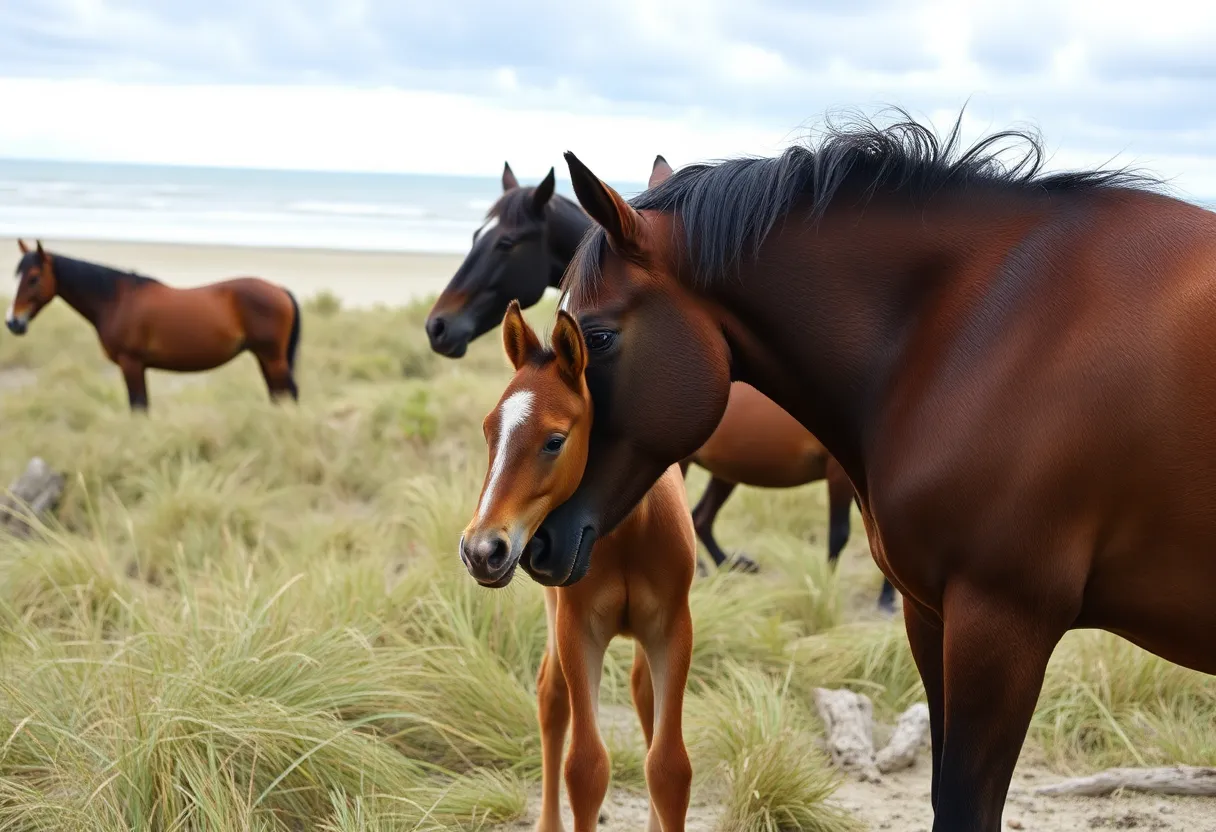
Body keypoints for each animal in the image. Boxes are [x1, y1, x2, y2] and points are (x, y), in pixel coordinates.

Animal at [8, 241, 301, 411]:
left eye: (34, 278)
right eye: (18, 275)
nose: (13, 322)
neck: (117, 299)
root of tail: (280, 290)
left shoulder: (132, 364)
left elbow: (139, 408)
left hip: (272, 358)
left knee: (287, 395)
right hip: (264, 357)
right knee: (278, 396)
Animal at [460, 300, 694, 832]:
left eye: (554, 440)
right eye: (488, 431)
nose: (482, 551)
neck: (626, 533)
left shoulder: (672, 629)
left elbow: (670, 768)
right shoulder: (577, 628)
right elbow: (585, 768)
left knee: (643, 695)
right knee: (552, 698)